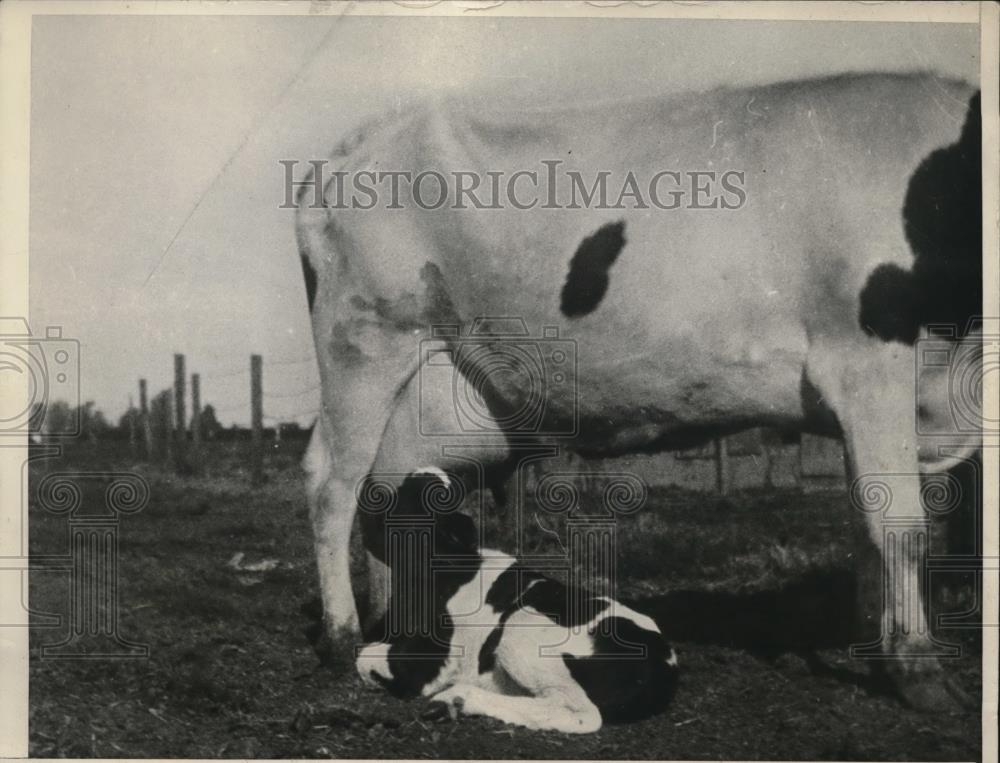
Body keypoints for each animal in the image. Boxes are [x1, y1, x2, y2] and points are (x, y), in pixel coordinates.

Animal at [354, 468, 680, 736]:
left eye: (406, 494)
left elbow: (363, 657)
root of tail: (663, 661)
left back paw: (456, 700)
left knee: (582, 712)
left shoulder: (426, 662)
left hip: (522, 627)